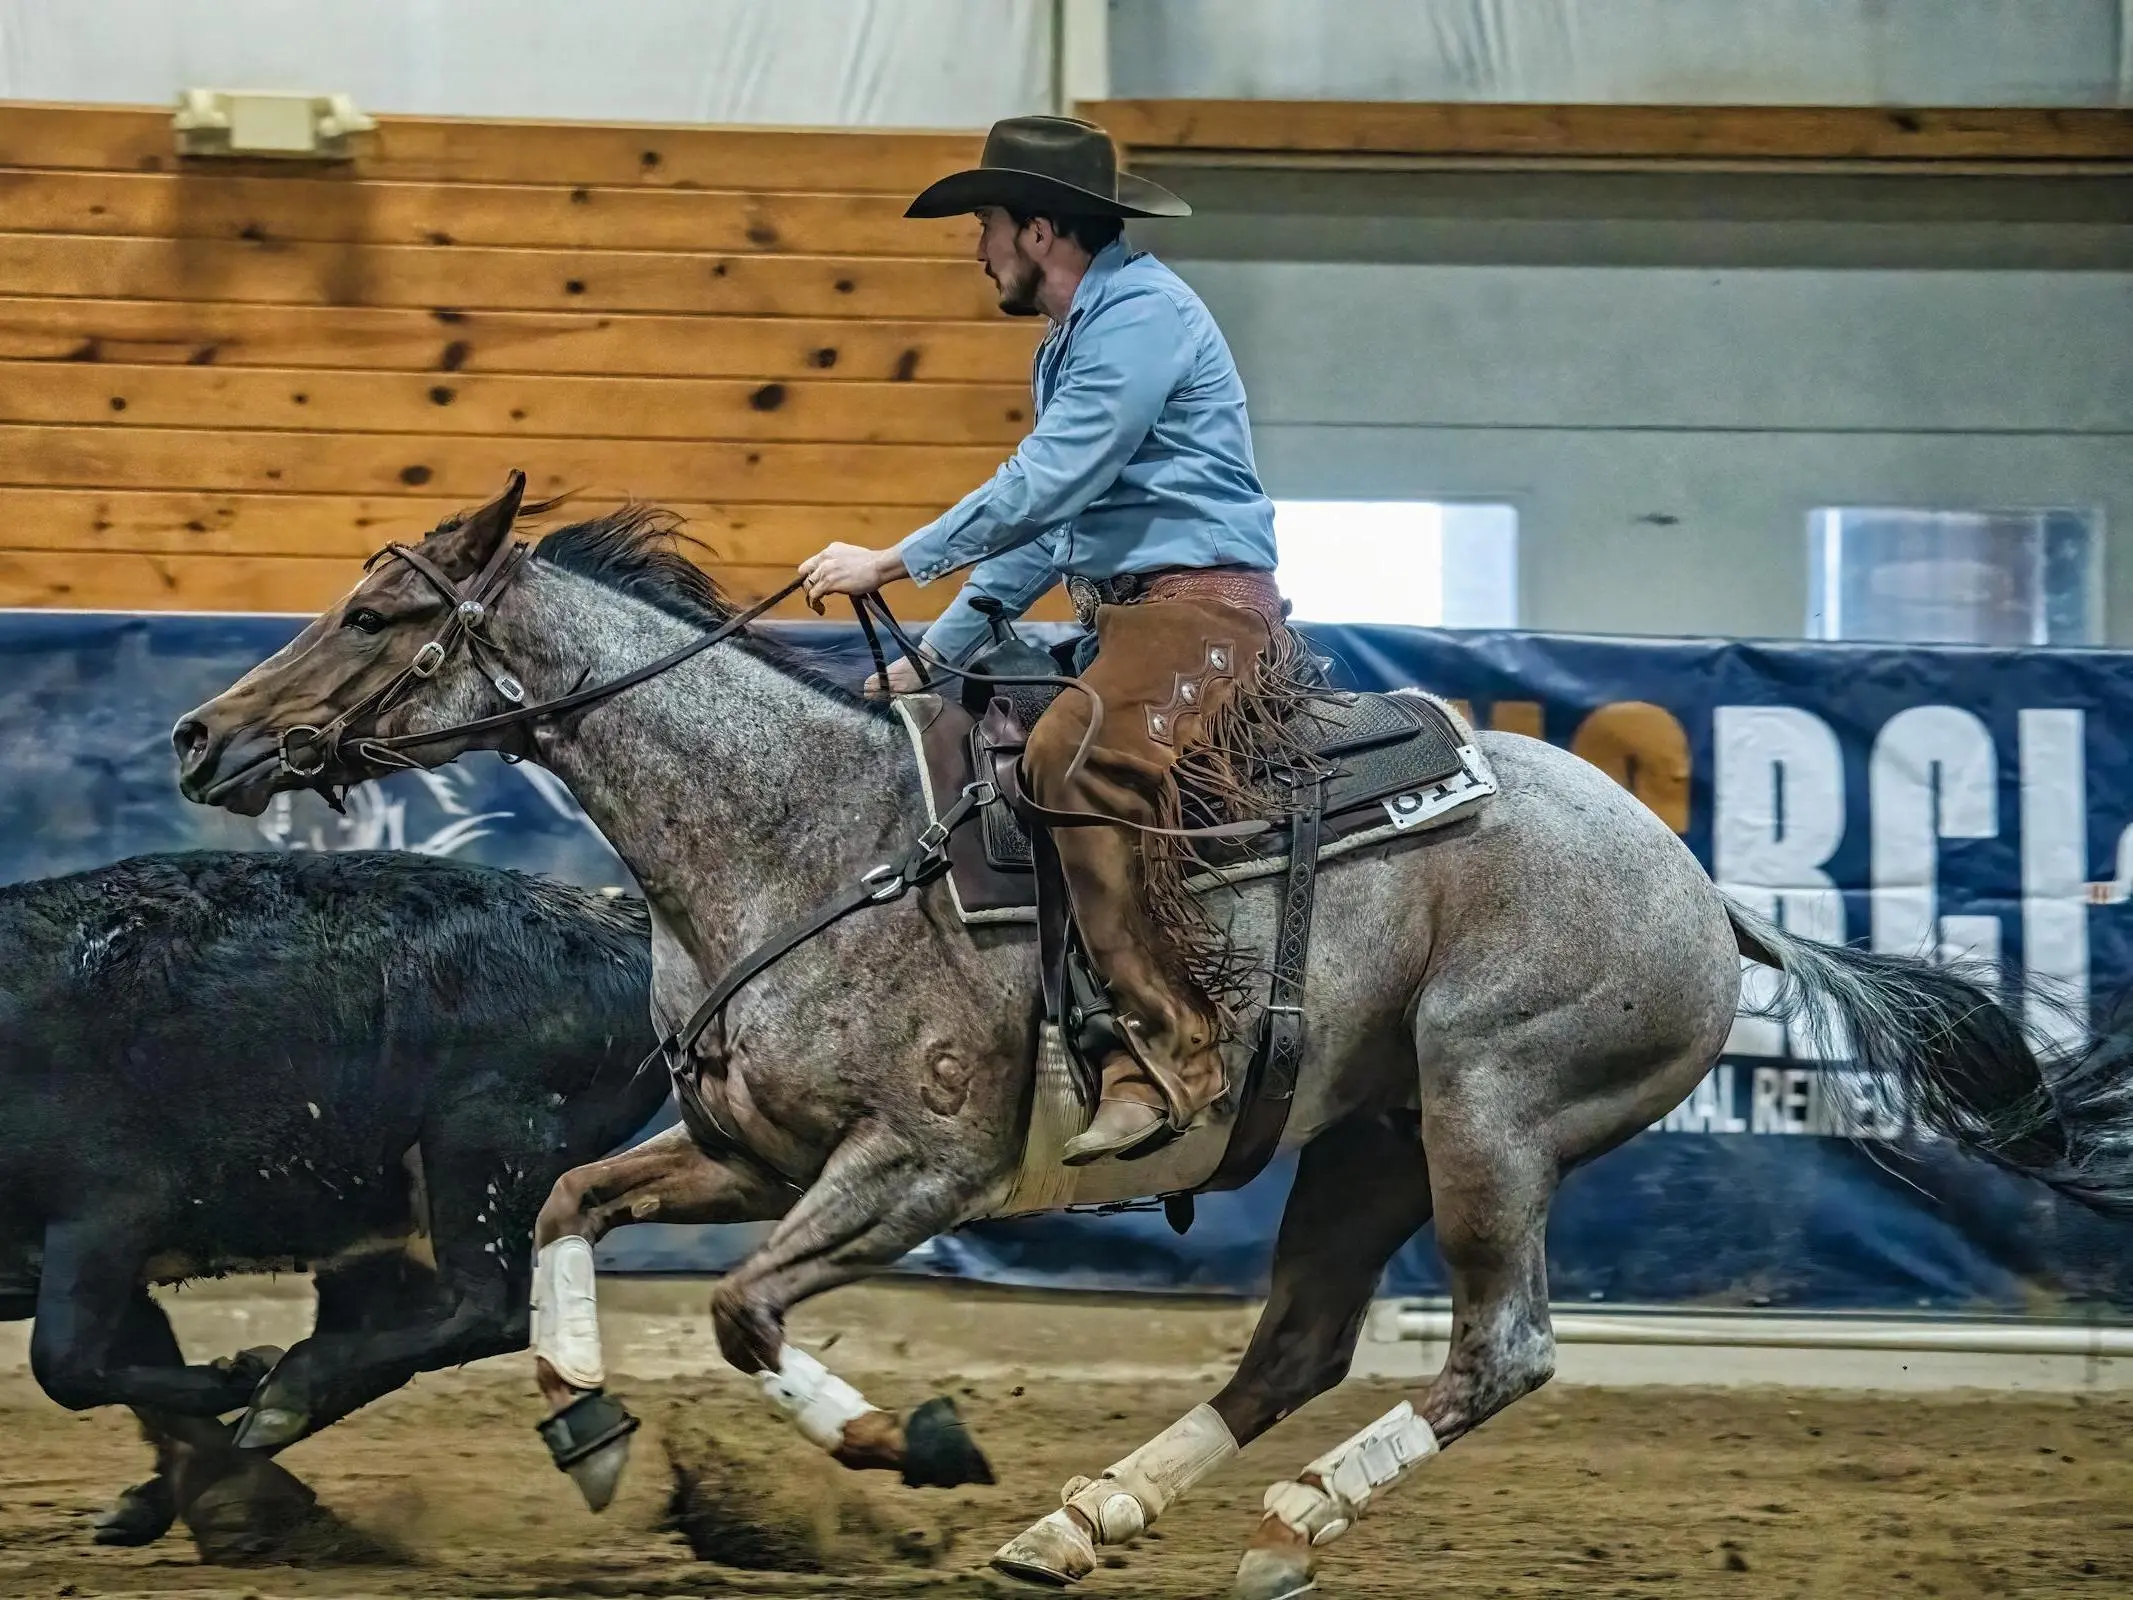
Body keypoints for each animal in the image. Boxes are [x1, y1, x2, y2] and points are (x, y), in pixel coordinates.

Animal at [0, 857, 665, 1561]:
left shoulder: (106, 1215)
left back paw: (281, 1388)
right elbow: (134, 1364)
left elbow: (64, 1367)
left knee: (490, 1311)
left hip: (482, 1150)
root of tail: (624, 924)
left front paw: (239, 1398)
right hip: (403, 1214)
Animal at [170, 480, 2133, 1600]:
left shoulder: (919, 1167)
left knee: (1498, 1349)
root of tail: (1703, 886)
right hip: (1364, 1144)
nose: (199, 737)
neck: (796, 832)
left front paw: (912, 1447)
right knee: (1294, 1348)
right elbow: (575, 1205)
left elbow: (741, 1313)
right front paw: (582, 1422)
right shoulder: (743, 1150)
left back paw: (1281, 1526)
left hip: (1487, 1113)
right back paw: (1087, 1524)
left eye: (378, 612)